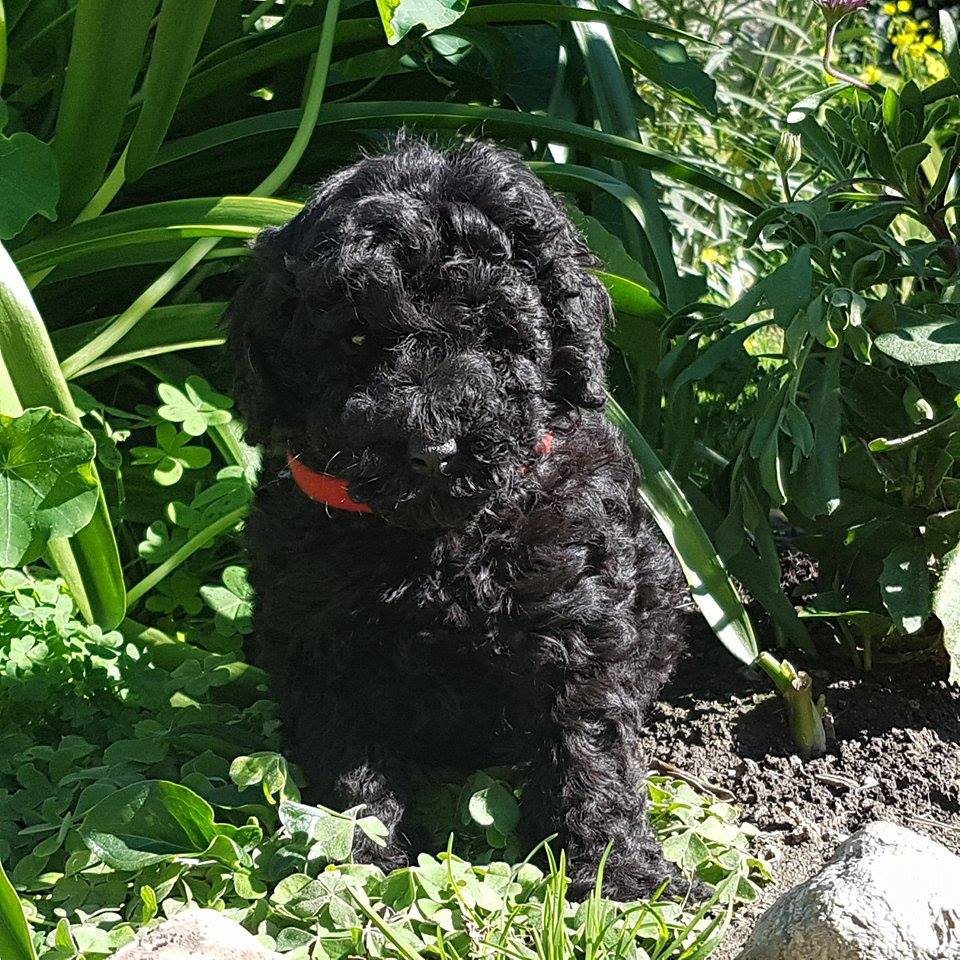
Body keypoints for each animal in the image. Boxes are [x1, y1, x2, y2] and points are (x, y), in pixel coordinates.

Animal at [228, 135, 688, 900]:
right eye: (356, 341)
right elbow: (348, 762)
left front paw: (619, 873)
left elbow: (589, 753)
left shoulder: (579, 627)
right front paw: (364, 863)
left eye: (493, 331)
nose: (434, 451)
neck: (438, 539)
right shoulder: (320, 642)